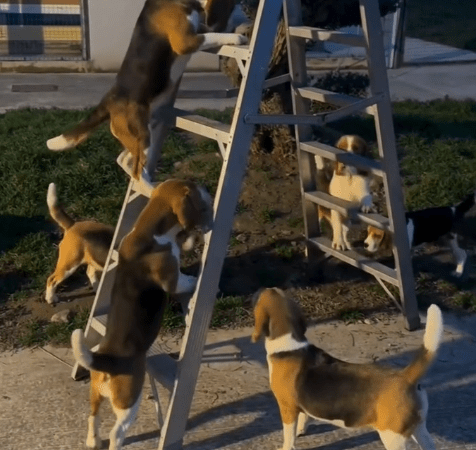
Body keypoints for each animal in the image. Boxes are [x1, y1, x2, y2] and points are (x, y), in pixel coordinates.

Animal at [46, 0, 247, 181]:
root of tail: (110, 98)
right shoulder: (186, 40)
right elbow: (215, 34)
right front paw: (238, 37)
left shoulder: (199, 28)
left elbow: (214, 30)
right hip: (142, 138)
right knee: (135, 168)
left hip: (142, 134)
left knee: (123, 159)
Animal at [70, 178, 212, 450]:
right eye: (193, 186)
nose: (207, 187)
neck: (147, 230)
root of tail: (105, 361)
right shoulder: (172, 279)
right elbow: (183, 281)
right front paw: (194, 278)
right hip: (128, 401)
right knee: (117, 432)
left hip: (95, 394)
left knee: (93, 417)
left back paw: (93, 440)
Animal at [253, 288, 442, 450]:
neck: (288, 344)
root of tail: (407, 376)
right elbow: (304, 417)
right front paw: (301, 430)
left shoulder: (287, 408)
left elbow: (288, 435)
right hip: (419, 429)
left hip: (392, 437)